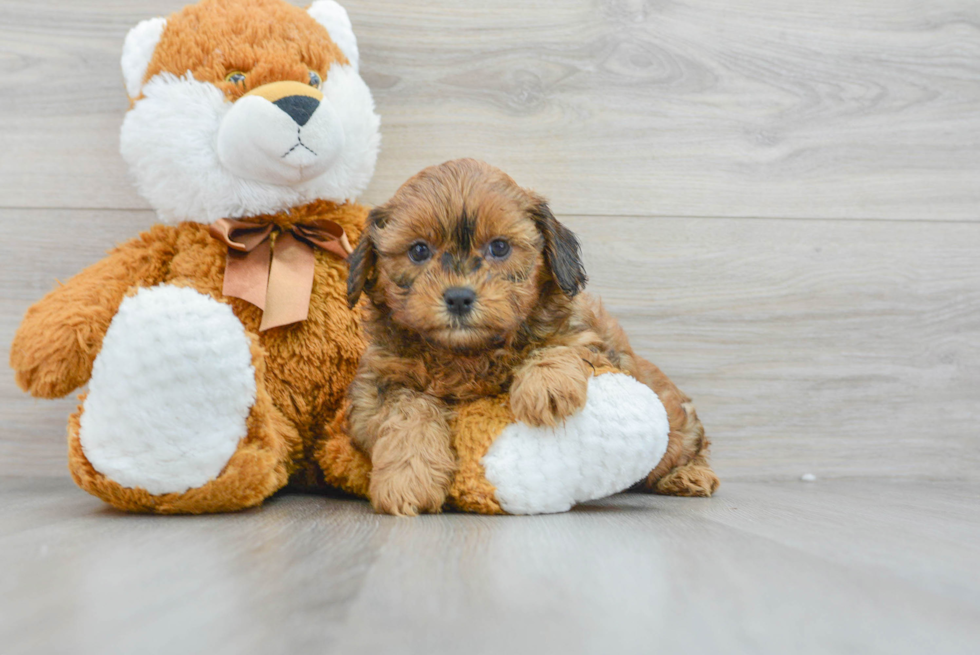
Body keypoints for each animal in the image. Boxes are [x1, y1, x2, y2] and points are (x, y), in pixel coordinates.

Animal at [348, 160, 716, 516]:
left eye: (499, 247)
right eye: (419, 251)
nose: (458, 297)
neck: (468, 353)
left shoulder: (592, 344)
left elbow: (559, 345)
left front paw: (546, 385)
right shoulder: (378, 385)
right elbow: (408, 413)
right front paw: (408, 478)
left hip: (677, 426)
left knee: (691, 446)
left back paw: (690, 476)